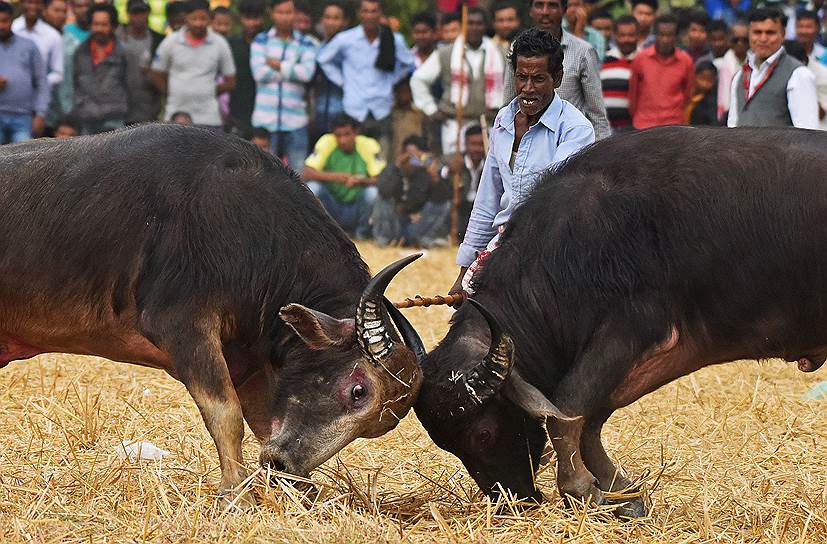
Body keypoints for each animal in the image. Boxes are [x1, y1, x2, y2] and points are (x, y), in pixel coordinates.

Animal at [0, 125, 424, 508]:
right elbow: (226, 415)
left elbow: (261, 421)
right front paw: (235, 494)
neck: (250, 233)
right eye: (358, 391)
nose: (284, 464)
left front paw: (299, 493)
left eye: (376, 426)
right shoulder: (184, 330)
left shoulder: (251, 363)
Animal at [414, 126, 827, 516]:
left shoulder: (633, 329)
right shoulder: (666, 350)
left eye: (482, 434)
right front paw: (622, 495)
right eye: (449, 445)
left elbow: (568, 406)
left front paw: (581, 488)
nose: (512, 500)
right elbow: (587, 417)